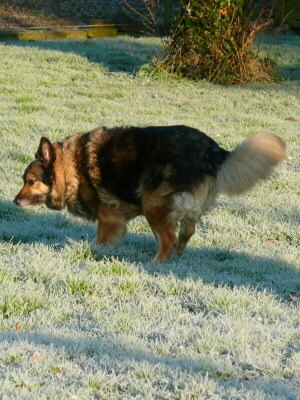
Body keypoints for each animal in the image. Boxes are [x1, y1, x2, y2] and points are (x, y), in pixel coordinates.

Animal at [14, 125, 286, 262]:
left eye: (31, 181)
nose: (15, 201)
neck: (73, 167)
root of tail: (210, 149)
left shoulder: (108, 217)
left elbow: (100, 240)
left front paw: (95, 252)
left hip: (152, 203)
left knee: (169, 239)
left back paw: (157, 265)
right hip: (171, 209)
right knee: (184, 234)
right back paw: (175, 259)